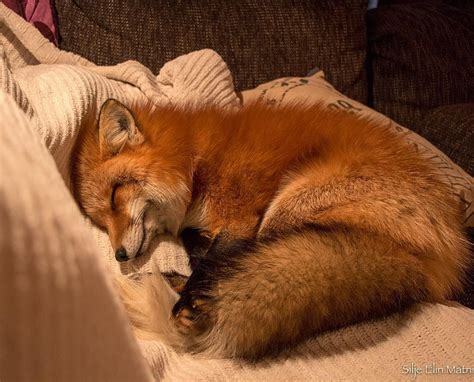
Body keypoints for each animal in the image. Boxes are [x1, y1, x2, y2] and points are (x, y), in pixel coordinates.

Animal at [71, 97, 470, 358]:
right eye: (101, 221)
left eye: (114, 196)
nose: (120, 255)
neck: (197, 162)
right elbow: (200, 248)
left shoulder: (240, 216)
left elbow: (215, 259)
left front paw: (193, 296)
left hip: (289, 205)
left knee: (248, 259)